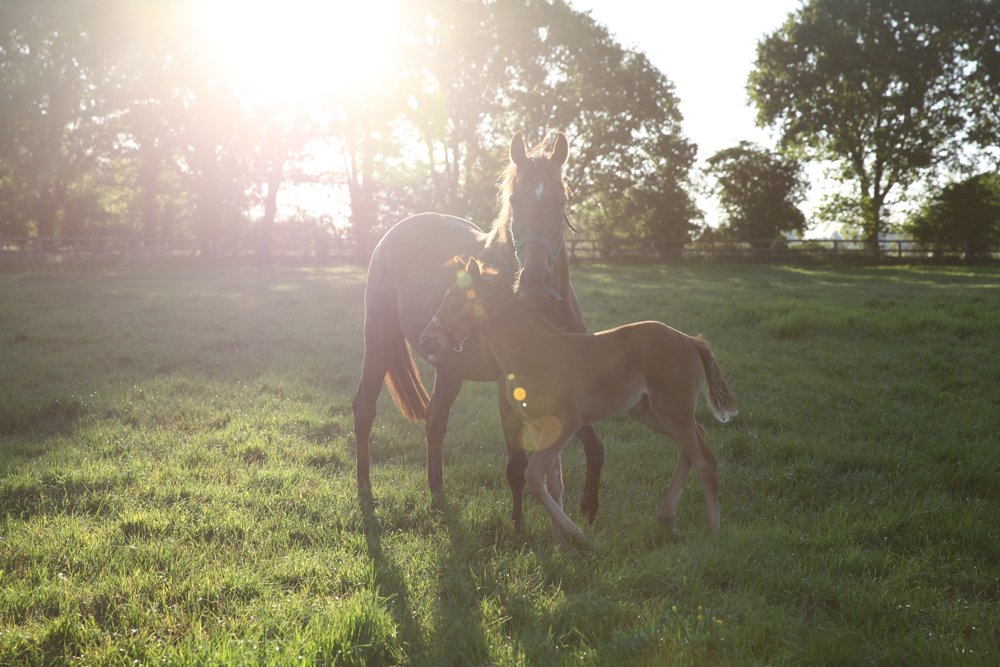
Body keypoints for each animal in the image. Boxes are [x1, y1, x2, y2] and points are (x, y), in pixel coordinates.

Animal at [351, 131, 605, 527]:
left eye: (561, 200)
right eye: (515, 200)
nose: (533, 280)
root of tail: (391, 235)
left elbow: (595, 447)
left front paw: (589, 506)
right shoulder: (509, 388)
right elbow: (516, 466)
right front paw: (518, 527)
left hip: (449, 368)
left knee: (435, 423)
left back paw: (437, 490)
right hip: (378, 342)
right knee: (364, 411)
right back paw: (365, 487)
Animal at [419, 258, 737, 547]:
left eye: (456, 303)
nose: (427, 340)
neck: (532, 351)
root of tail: (689, 340)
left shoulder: (566, 422)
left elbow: (533, 476)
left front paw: (578, 537)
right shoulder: (540, 427)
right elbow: (553, 482)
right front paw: (560, 544)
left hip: (672, 410)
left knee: (704, 460)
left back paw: (713, 533)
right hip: (648, 411)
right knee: (692, 445)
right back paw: (668, 521)